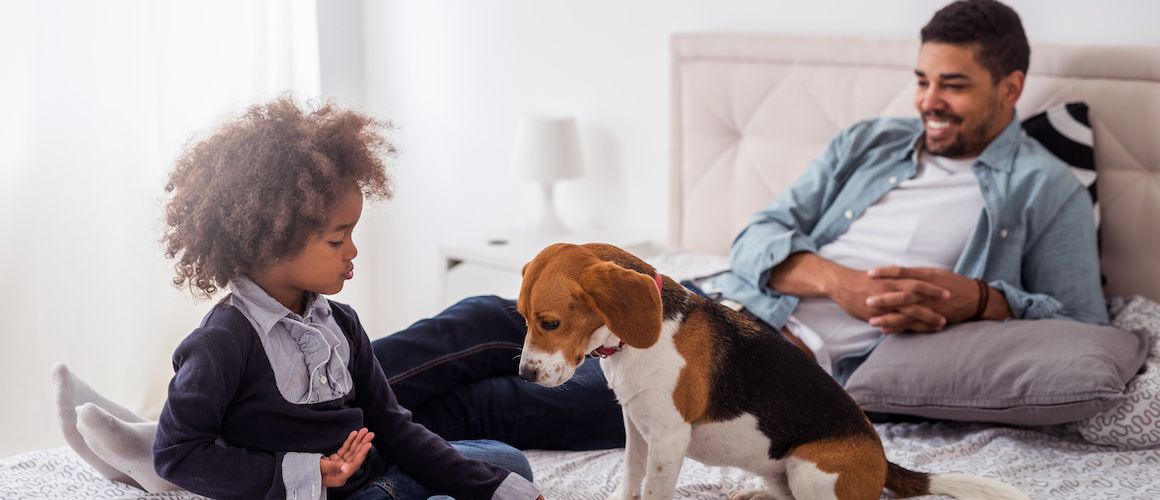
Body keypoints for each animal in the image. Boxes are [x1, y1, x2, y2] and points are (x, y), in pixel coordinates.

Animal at [517, 244, 1025, 500]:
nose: (525, 375)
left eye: (550, 323)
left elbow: (653, 490)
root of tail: (882, 461)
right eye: (521, 317)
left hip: (811, 469)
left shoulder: (668, 439)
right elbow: (629, 482)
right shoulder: (637, 430)